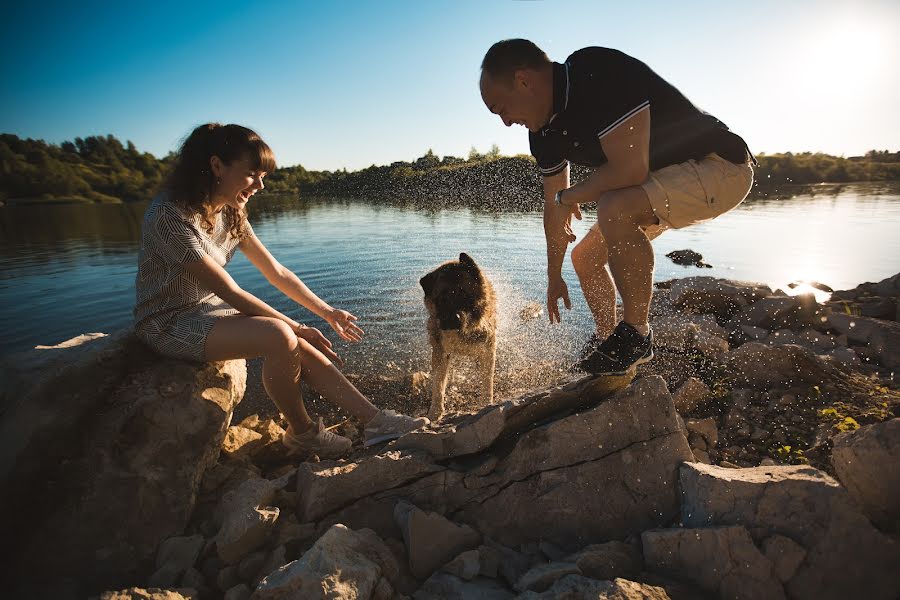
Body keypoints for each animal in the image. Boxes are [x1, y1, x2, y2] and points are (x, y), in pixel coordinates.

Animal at [418, 253, 496, 422]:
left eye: (464, 294)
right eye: (441, 300)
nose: (451, 319)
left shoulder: (488, 350)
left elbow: (487, 381)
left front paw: (486, 404)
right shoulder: (440, 352)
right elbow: (438, 384)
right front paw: (435, 412)